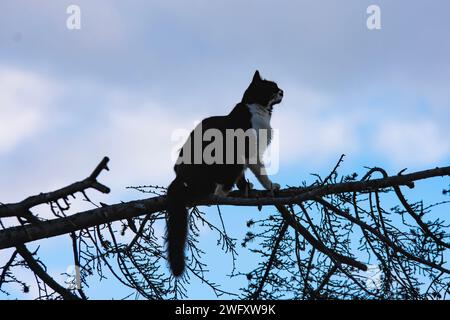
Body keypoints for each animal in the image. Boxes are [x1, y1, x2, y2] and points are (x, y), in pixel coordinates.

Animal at [167, 71, 284, 276]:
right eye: (272, 87)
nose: (282, 91)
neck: (259, 111)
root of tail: (179, 177)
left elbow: (243, 176)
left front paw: (246, 187)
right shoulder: (250, 151)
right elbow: (260, 171)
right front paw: (270, 186)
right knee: (216, 188)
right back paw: (223, 192)